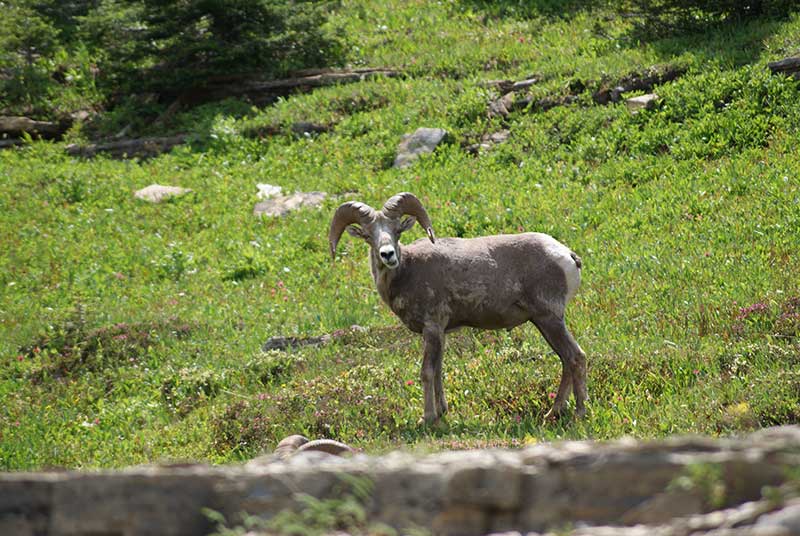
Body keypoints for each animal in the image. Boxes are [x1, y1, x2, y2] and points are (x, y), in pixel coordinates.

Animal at [328, 192, 587, 424]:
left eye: (396, 231)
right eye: (369, 235)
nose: (388, 255)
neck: (408, 271)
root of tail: (567, 255)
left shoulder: (432, 327)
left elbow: (427, 372)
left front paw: (427, 418)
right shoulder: (440, 333)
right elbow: (438, 371)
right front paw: (442, 411)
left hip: (550, 319)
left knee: (576, 357)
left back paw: (579, 413)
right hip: (543, 322)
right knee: (566, 360)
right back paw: (553, 413)